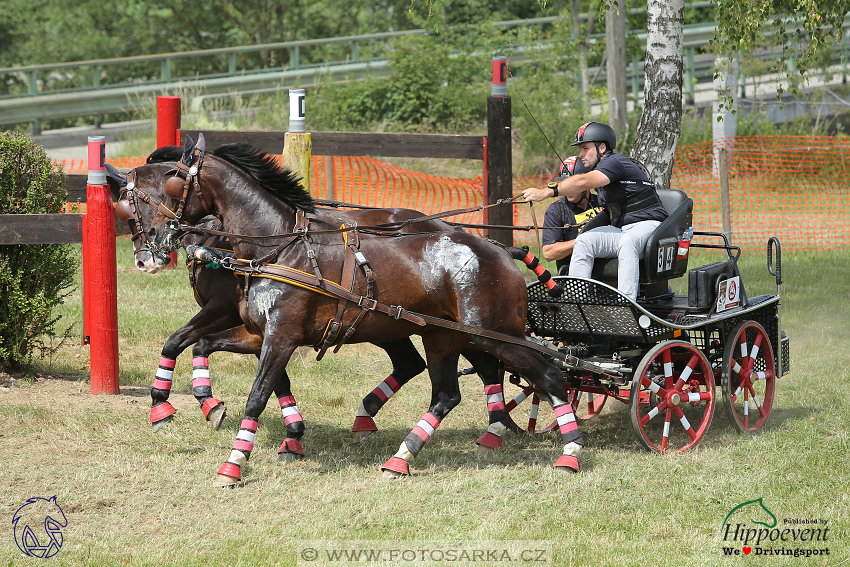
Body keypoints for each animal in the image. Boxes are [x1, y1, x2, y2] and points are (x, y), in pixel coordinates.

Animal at [136, 139, 584, 484]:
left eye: (172, 182)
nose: (153, 242)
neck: (278, 247)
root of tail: (499, 249)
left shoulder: (279, 336)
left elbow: (257, 396)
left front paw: (233, 463)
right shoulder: (258, 333)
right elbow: (205, 348)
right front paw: (211, 407)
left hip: (494, 334)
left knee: (548, 375)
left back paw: (570, 450)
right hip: (442, 334)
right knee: (447, 391)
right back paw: (404, 454)